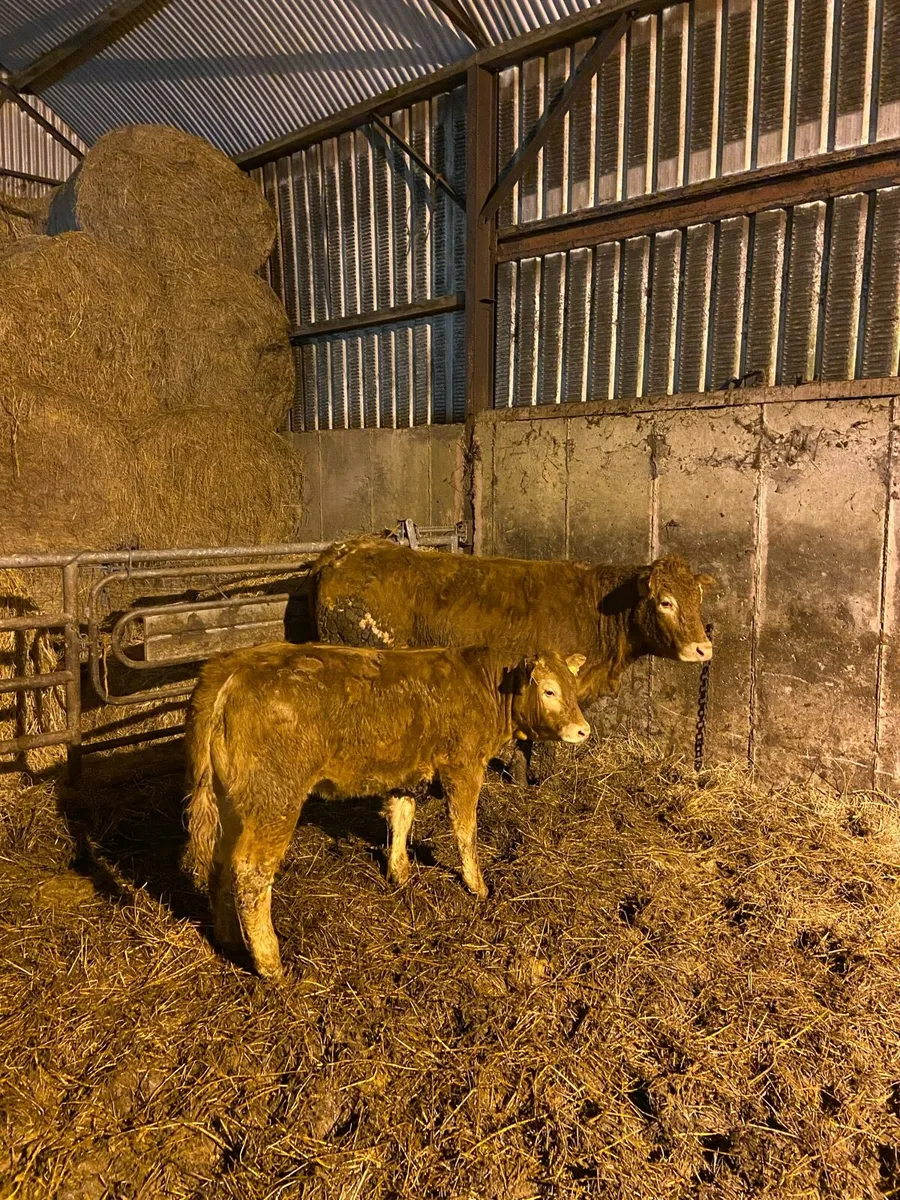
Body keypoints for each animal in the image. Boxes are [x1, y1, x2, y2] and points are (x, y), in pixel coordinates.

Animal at [186, 641, 589, 980]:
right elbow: (465, 829)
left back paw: (227, 938)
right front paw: (478, 886)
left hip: (229, 801)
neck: (480, 685)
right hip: (274, 799)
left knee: (220, 861)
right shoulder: (463, 768)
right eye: (549, 690)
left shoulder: (404, 772)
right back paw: (271, 964)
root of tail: (233, 669)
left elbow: (401, 818)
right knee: (251, 872)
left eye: (574, 687)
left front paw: (400, 874)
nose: (583, 730)